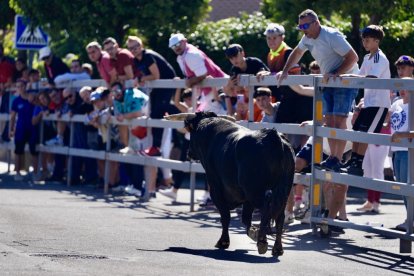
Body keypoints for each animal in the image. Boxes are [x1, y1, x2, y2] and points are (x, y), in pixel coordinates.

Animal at [165, 111, 294, 256]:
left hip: (254, 191)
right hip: (282, 191)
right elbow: (245, 219)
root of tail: (273, 136)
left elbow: (225, 216)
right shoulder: (245, 198)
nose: (189, 153)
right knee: (280, 216)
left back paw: (262, 241)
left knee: (267, 208)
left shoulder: (215, 188)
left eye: (191, 132)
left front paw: (223, 241)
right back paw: (277, 248)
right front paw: (252, 233)